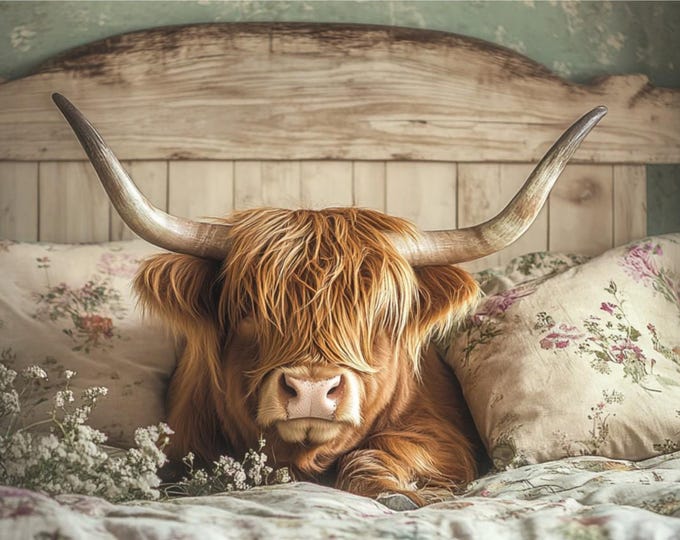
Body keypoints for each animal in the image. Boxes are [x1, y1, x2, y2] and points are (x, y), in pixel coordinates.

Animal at [53, 93, 606, 505]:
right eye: (249, 309)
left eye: (380, 314)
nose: (314, 390)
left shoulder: (444, 434)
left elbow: (382, 452)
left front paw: (400, 492)